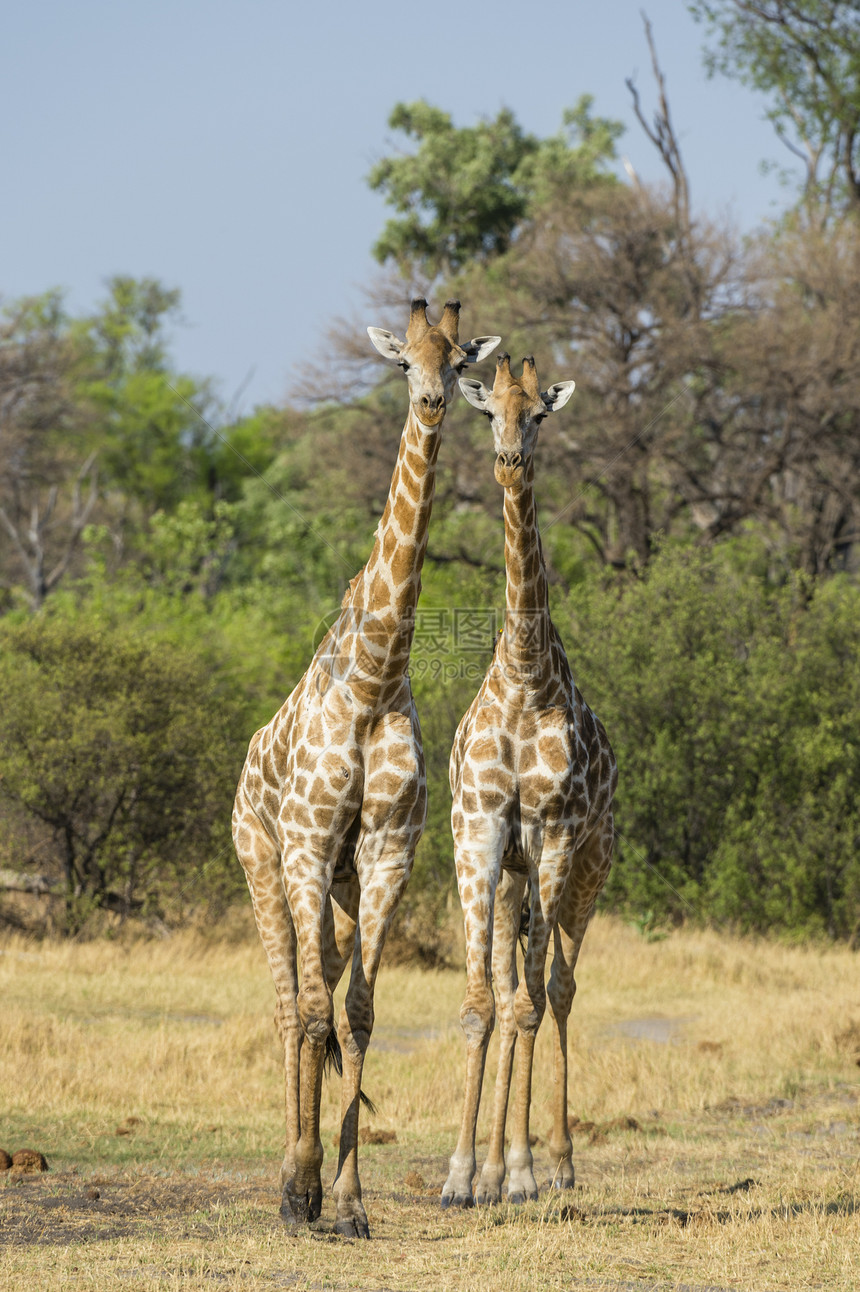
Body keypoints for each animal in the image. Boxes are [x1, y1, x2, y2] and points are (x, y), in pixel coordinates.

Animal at [231, 297, 498, 1235]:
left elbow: (358, 1015)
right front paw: (304, 1191)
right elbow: (313, 1013)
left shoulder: (386, 853)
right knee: (285, 1007)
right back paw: (285, 1178)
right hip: (266, 864)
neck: (377, 676)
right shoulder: (309, 844)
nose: (432, 402)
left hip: (339, 888)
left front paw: (348, 1203)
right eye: (402, 362)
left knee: (324, 999)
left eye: (458, 361)